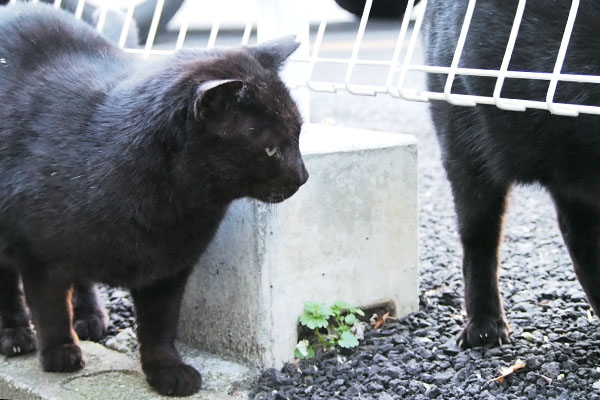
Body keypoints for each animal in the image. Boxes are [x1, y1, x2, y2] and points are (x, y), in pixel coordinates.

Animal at [0, 2, 308, 396]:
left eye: (298, 134)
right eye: (270, 149)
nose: (303, 175)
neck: (171, 208)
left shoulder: (169, 268)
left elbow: (160, 325)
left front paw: (167, 370)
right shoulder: (38, 254)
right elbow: (50, 307)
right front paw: (59, 352)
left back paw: (91, 316)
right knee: (8, 283)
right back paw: (17, 335)